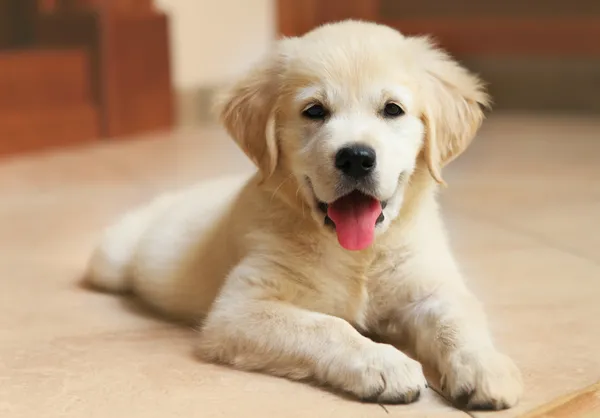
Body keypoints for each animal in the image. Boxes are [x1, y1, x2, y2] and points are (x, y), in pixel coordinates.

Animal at [86, 20, 524, 408]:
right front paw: (384, 363)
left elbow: (459, 319)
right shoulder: (239, 308)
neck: (358, 255)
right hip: (112, 260)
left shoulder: (431, 286)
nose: (356, 157)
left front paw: (486, 366)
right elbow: (328, 326)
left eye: (392, 109)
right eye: (314, 111)